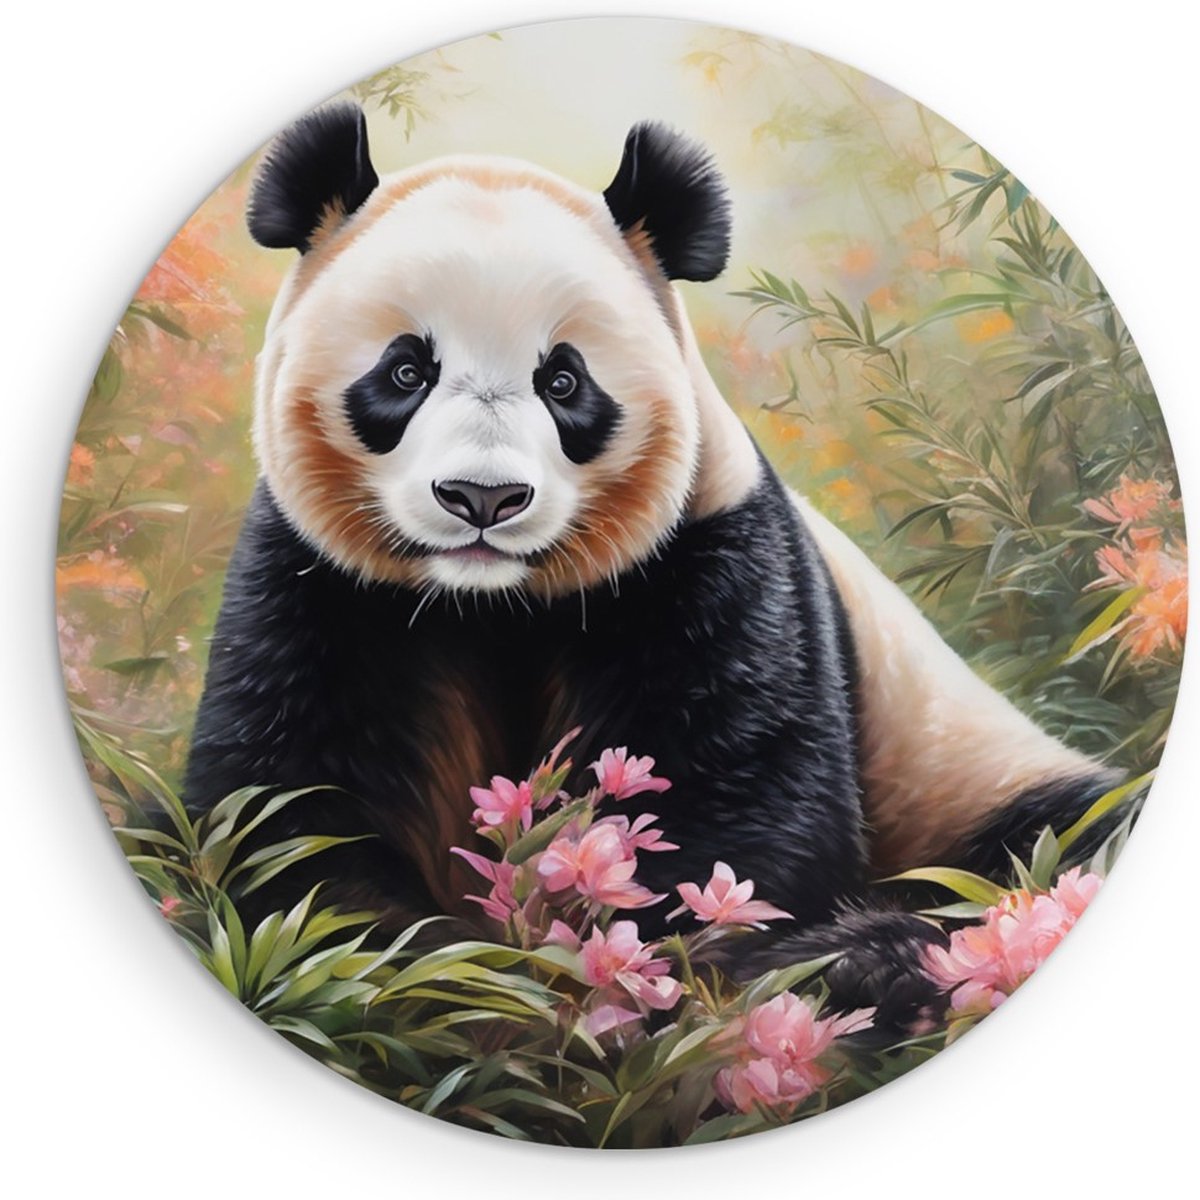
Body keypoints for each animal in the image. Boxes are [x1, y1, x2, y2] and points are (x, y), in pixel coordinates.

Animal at [184, 102, 1118, 1028]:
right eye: (407, 370)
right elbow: (285, 811)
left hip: (965, 773)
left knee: (1057, 840)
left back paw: (874, 962)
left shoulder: (712, 560)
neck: (493, 605)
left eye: (564, 382)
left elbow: (740, 809)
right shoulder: (320, 583)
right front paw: (447, 973)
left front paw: (653, 971)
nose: (483, 498)